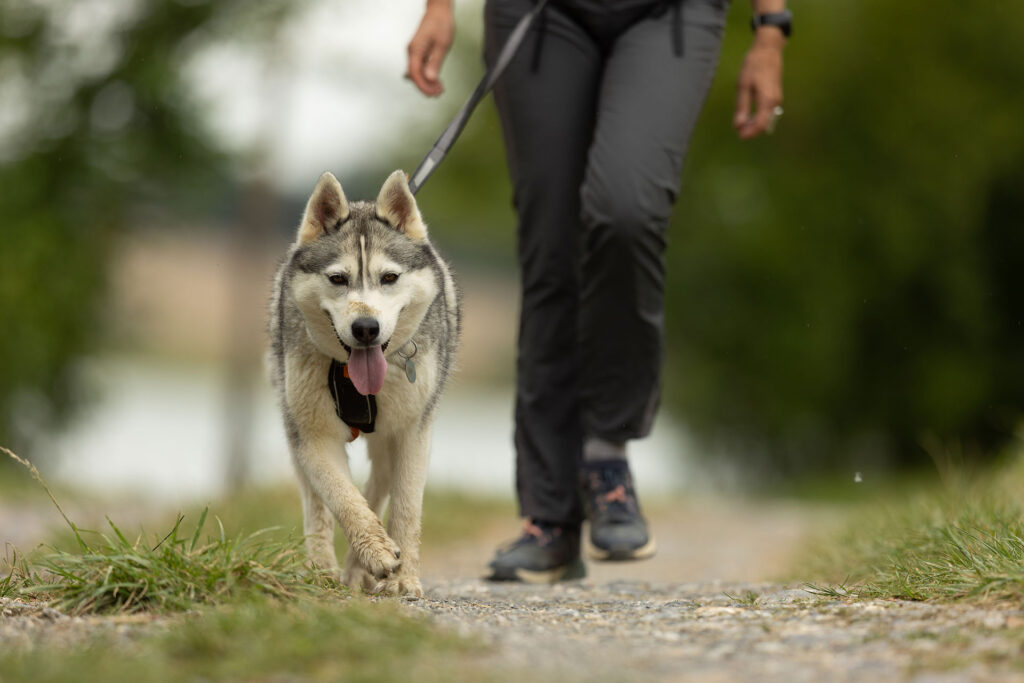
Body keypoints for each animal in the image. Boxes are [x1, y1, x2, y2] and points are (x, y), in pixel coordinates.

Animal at [272, 171, 464, 598]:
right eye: (338, 279)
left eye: (389, 278)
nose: (366, 328)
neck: (350, 377)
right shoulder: (313, 435)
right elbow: (342, 496)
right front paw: (375, 551)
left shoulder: (413, 432)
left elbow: (407, 507)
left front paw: (403, 575)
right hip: (293, 429)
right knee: (318, 506)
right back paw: (323, 569)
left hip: (387, 439)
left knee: (377, 487)